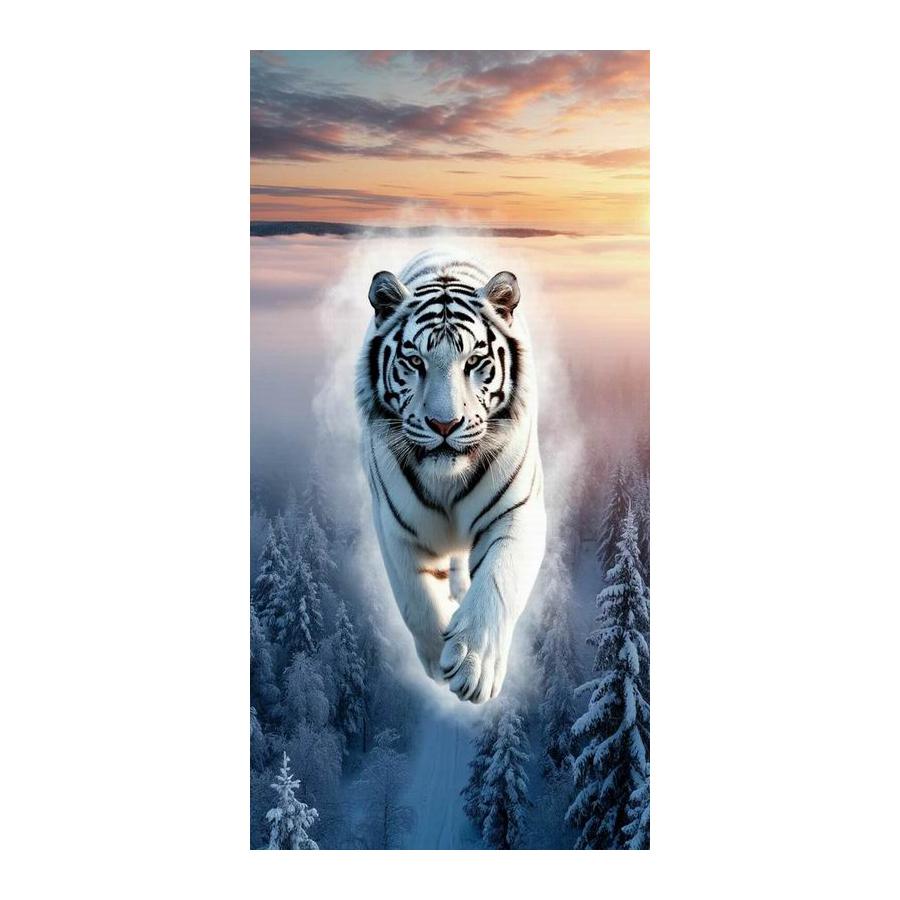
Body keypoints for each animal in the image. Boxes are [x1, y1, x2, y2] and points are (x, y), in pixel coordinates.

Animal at [356, 249, 547, 703]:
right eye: (414, 361)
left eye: (473, 361)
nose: (444, 424)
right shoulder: (394, 526)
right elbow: (416, 598)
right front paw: (437, 662)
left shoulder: (520, 511)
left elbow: (499, 580)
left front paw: (474, 665)